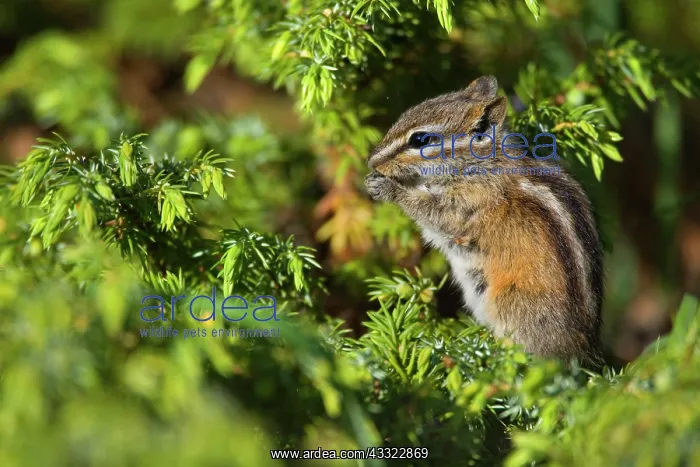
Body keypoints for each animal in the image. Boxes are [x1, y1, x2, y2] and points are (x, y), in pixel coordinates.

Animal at [365, 75, 604, 367]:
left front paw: (388, 188)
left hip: (511, 303)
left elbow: (434, 214)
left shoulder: (468, 205)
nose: (372, 161)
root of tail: (584, 350)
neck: (478, 166)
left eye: (421, 139)